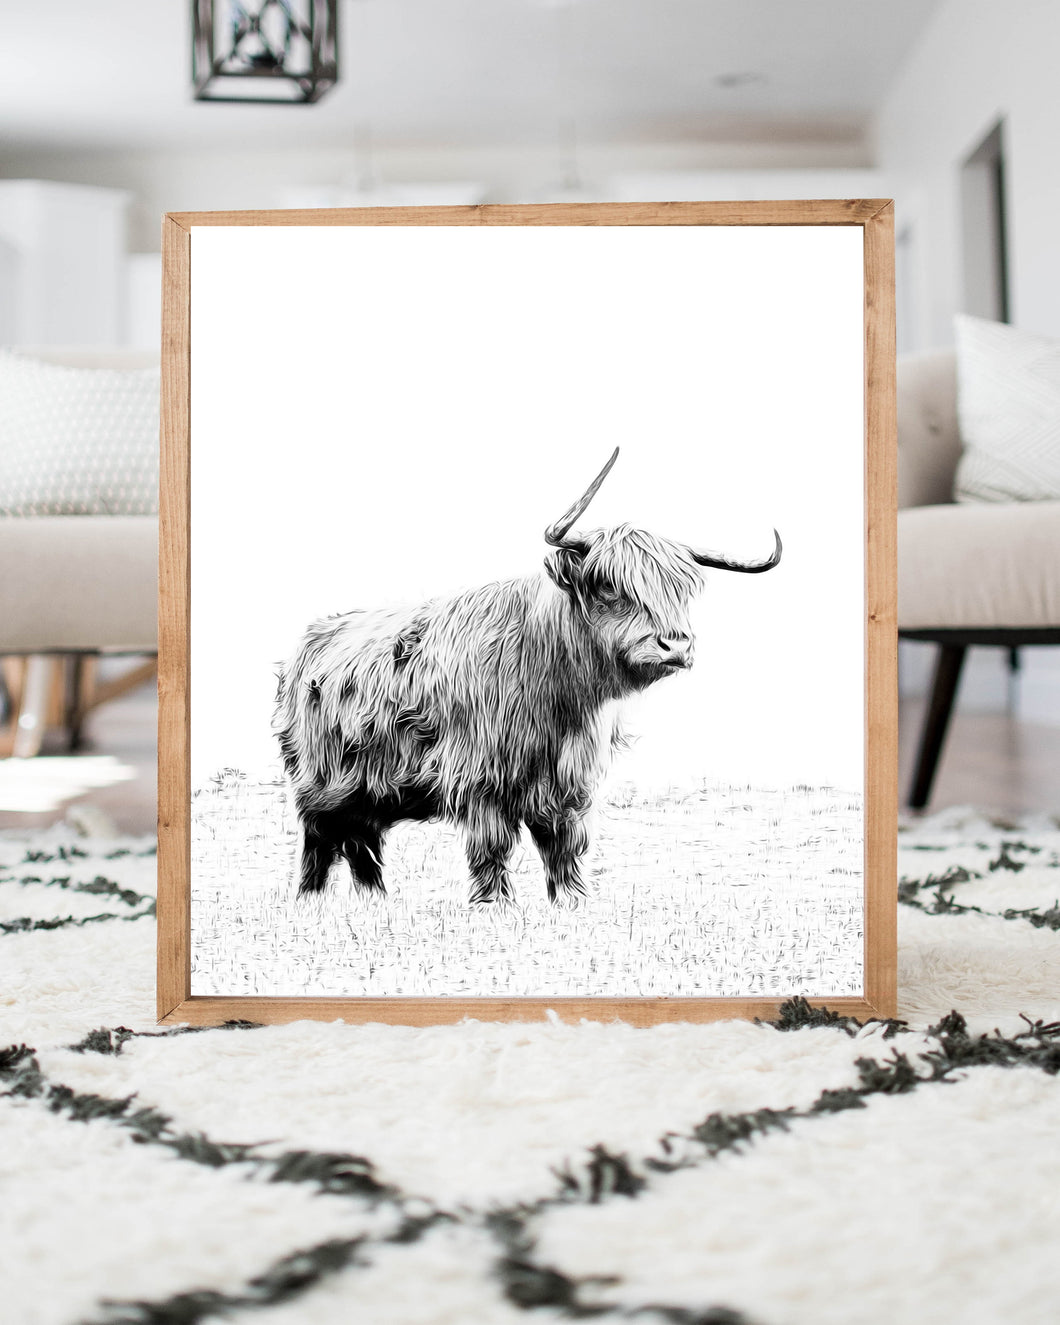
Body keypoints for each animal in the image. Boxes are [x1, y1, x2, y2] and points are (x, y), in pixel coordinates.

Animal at [274, 448, 781, 905]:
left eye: (679, 590)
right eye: (609, 585)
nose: (675, 645)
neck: (560, 698)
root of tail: (309, 641)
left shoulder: (571, 783)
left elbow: (566, 846)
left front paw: (572, 902)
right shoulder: (480, 776)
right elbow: (492, 844)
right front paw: (493, 906)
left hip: (368, 790)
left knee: (363, 844)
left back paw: (376, 902)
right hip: (319, 783)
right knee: (321, 843)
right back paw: (311, 902)